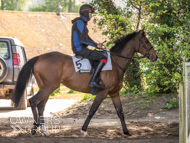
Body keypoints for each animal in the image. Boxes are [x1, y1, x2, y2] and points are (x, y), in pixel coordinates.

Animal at [11, 28, 157, 137]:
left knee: (41, 106)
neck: (115, 64)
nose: (156, 56)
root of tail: (39, 57)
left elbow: (120, 112)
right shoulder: (103, 93)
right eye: (146, 41)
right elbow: (92, 110)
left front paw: (126, 131)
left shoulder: (115, 93)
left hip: (47, 88)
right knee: (33, 101)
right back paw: (35, 128)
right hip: (48, 88)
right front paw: (84, 129)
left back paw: (44, 131)